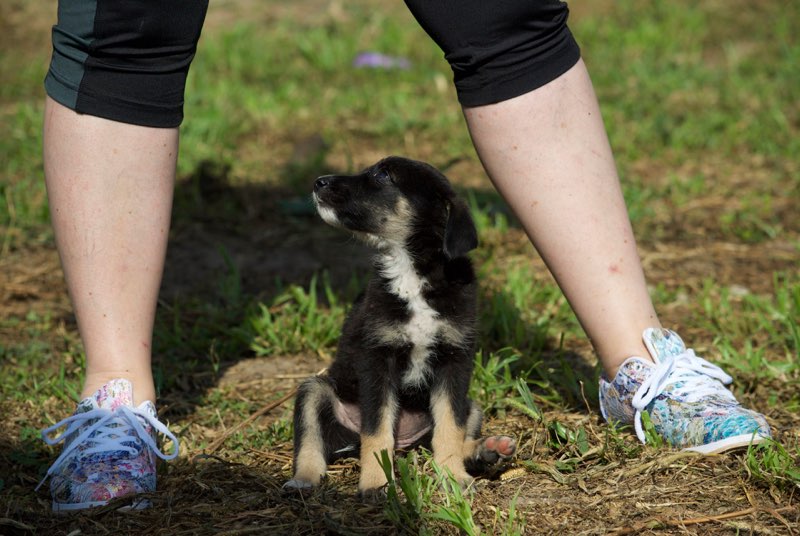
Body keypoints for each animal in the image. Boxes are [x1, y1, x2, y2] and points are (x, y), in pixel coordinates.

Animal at [284, 156, 516, 498]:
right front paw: (377, 483)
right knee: (312, 441)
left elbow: (450, 427)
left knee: (451, 432)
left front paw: (452, 476)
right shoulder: (377, 359)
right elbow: (377, 430)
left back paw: (485, 451)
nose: (318, 182)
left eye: (383, 175)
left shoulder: (454, 360)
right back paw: (303, 479)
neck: (410, 271)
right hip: (316, 389)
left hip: (470, 405)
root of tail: (406, 443)